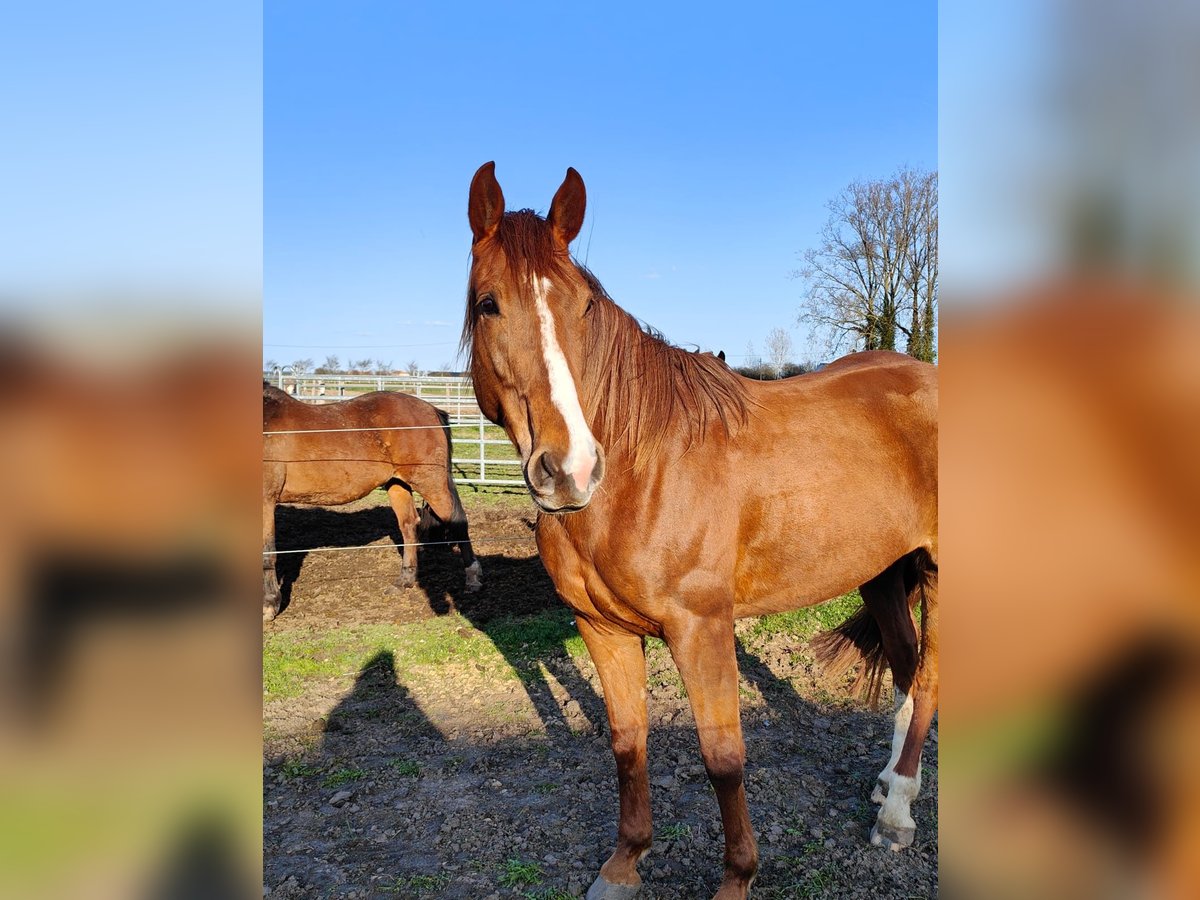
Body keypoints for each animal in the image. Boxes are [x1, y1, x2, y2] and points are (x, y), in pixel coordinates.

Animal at [262, 383, 482, 621]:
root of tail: (432, 410)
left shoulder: (265, 501)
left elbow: (267, 552)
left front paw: (269, 605)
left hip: (430, 482)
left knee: (457, 522)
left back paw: (473, 579)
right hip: (397, 484)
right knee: (408, 526)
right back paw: (404, 581)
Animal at [461, 162, 938, 900]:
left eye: (583, 306)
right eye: (488, 303)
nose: (570, 468)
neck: (639, 468)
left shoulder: (701, 627)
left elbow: (722, 757)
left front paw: (737, 877)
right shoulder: (601, 629)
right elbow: (628, 743)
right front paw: (623, 865)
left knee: (934, 678)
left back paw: (896, 817)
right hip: (883, 572)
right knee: (908, 667)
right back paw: (892, 788)